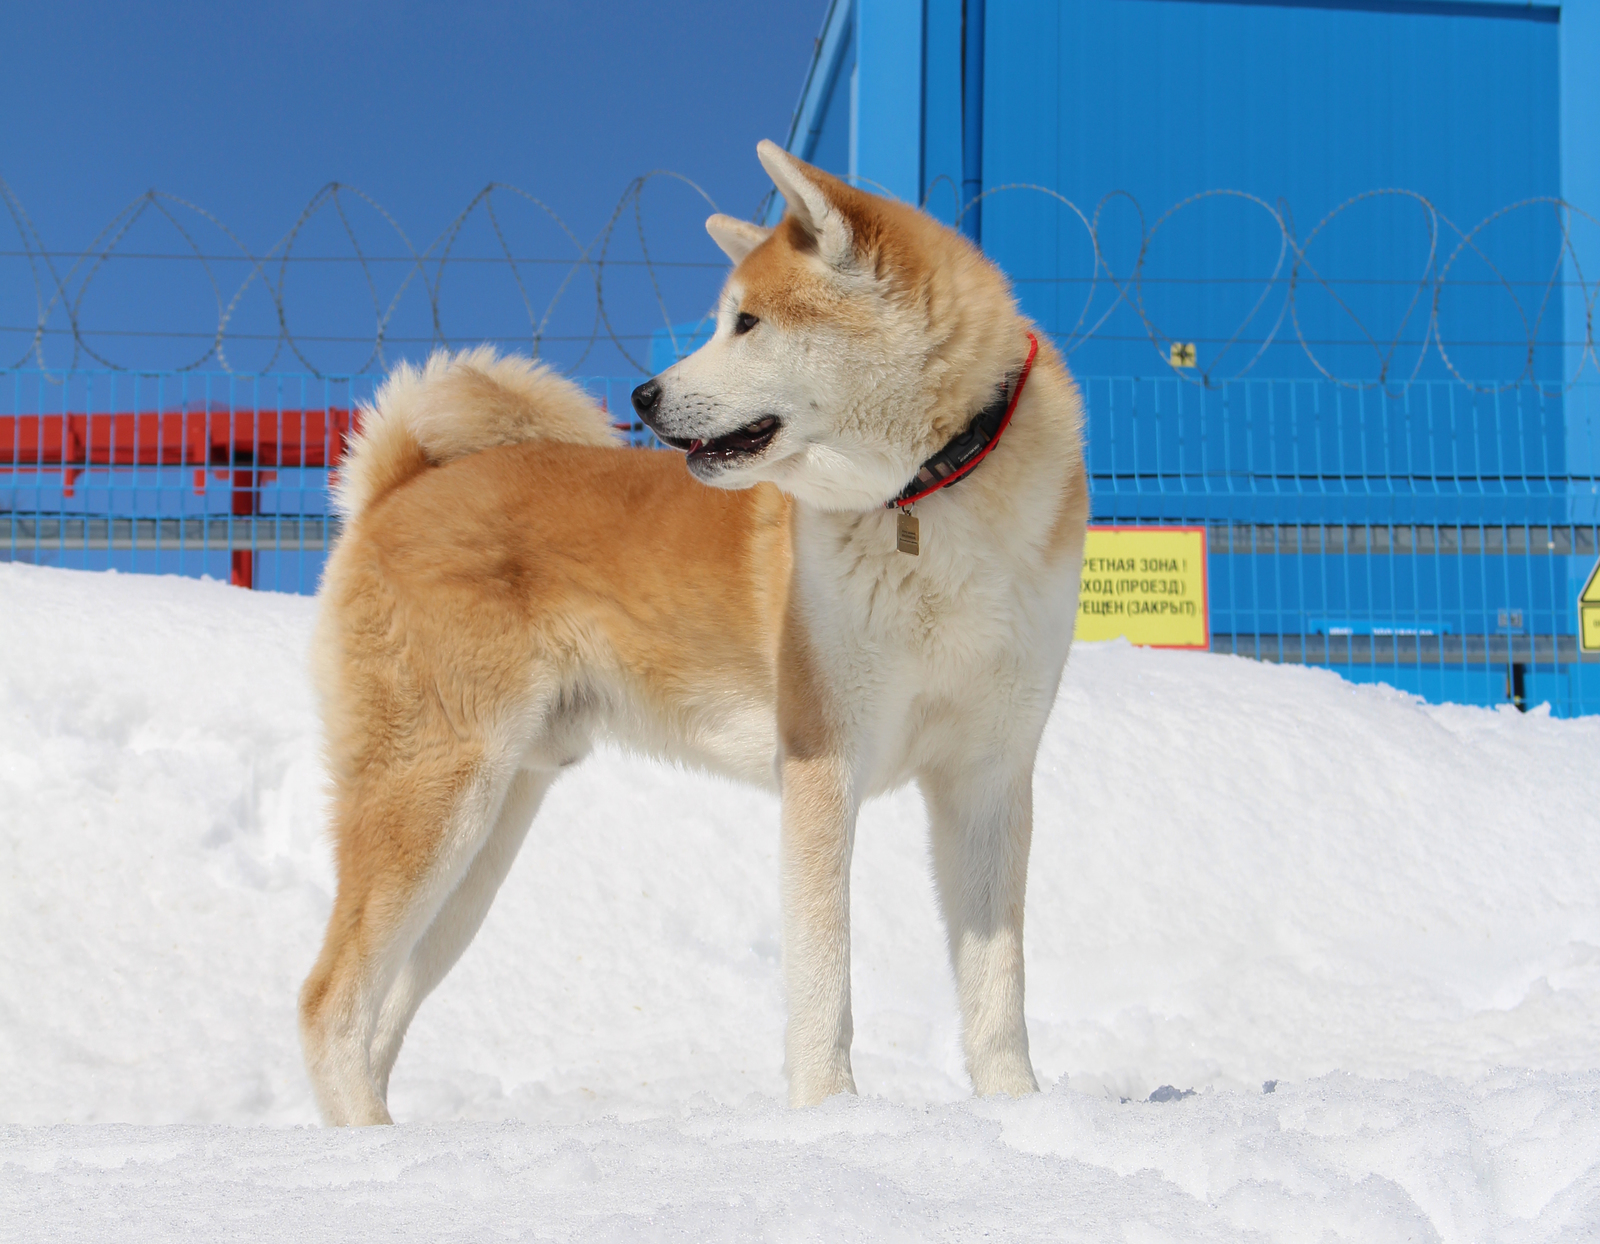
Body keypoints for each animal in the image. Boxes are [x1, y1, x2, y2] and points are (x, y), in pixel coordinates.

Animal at [300, 140, 1088, 1119]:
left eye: (747, 323)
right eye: (722, 319)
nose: (642, 394)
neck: (929, 496)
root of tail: (401, 485)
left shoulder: (989, 774)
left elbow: (996, 985)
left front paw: (1019, 1112)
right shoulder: (824, 761)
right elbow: (824, 978)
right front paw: (830, 1115)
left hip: (483, 839)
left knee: (380, 1014)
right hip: (435, 798)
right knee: (330, 1003)